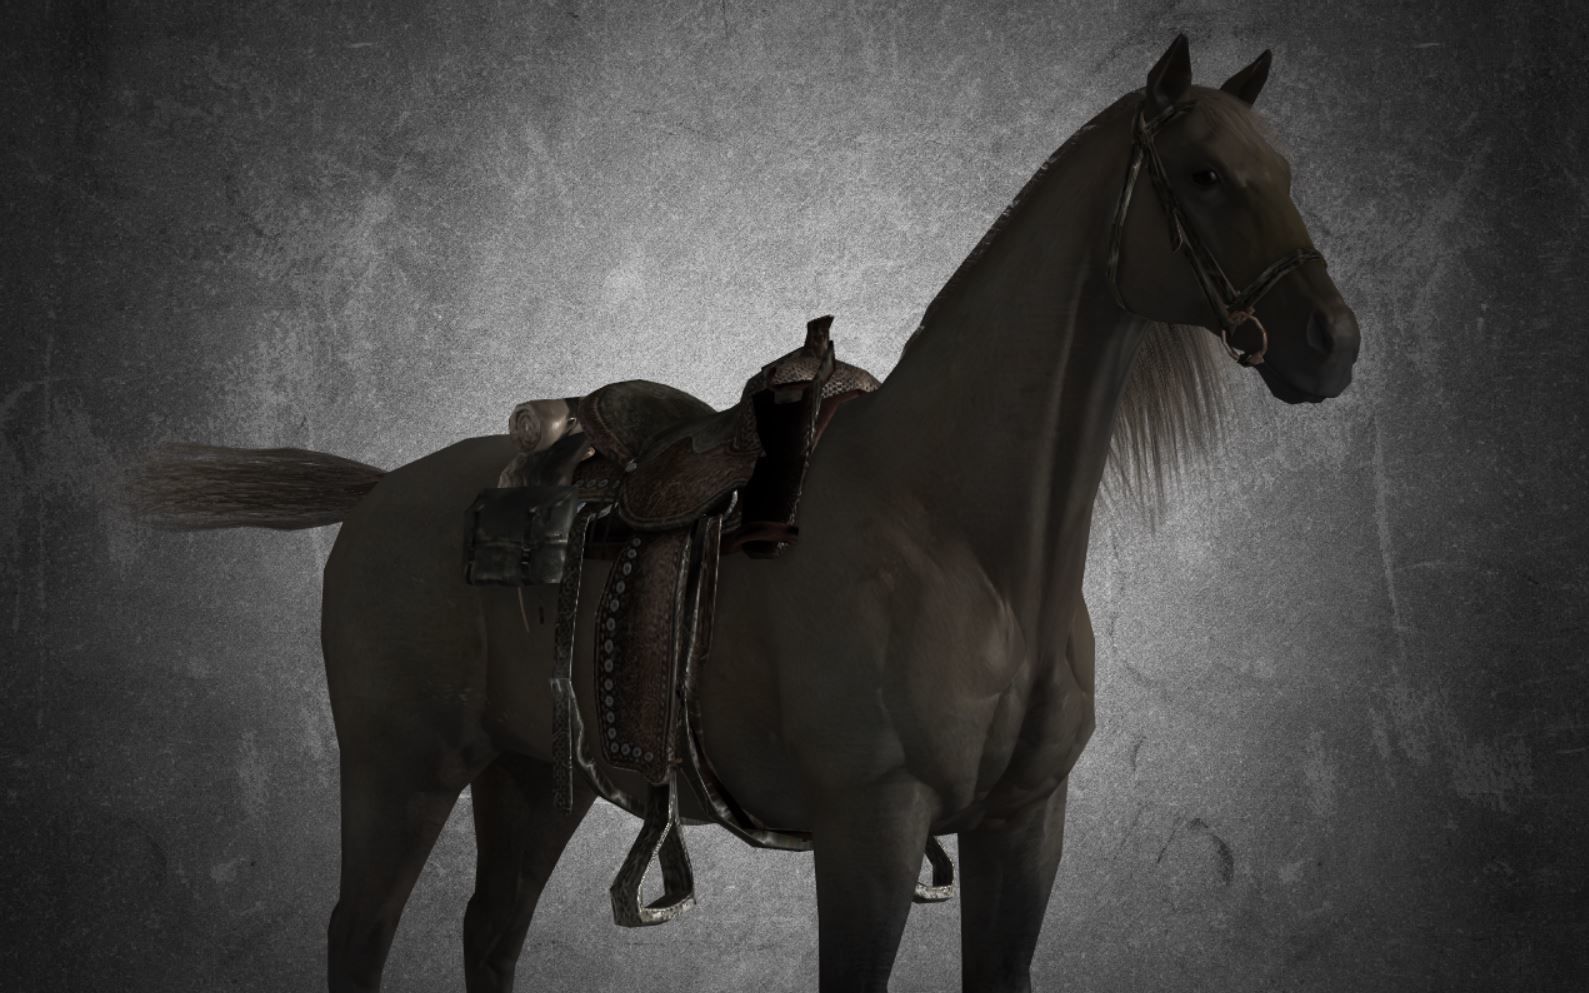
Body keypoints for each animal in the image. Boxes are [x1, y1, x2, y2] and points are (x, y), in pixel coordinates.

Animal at [132, 35, 1360, 993]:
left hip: (531, 780)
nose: (1331, 342)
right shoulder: (869, 833)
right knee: (360, 933)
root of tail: (384, 488)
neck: (965, 539)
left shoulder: (1023, 827)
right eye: (1203, 175)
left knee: (490, 932)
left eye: (1287, 170)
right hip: (401, 771)